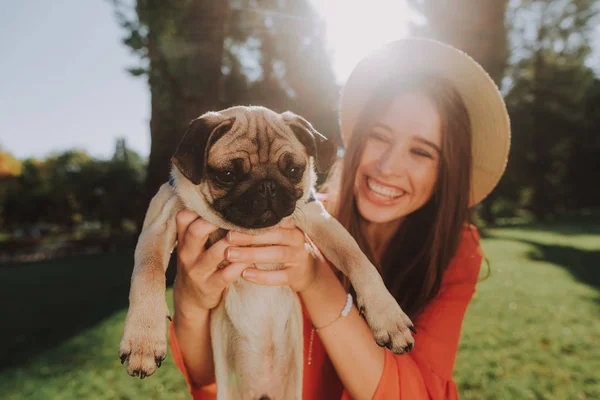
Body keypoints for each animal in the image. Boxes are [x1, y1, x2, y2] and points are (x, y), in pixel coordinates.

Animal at [119, 106, 414, 400]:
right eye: (228, 175)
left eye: (294, 170)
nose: (267, 185)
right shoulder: (159, 223)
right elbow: (148, 273)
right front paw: (143, 341)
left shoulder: (319, 218)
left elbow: (359, 260)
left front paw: (388, 318)